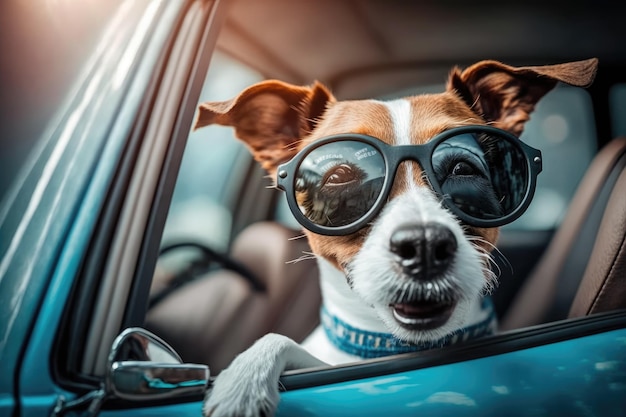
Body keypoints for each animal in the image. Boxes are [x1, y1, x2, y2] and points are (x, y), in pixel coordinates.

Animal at [194, 58, 596, 416]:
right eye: (339, 175)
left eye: (462, 167)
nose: (425, 245)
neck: (395, 346)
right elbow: (277, 339)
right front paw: (245, 380)